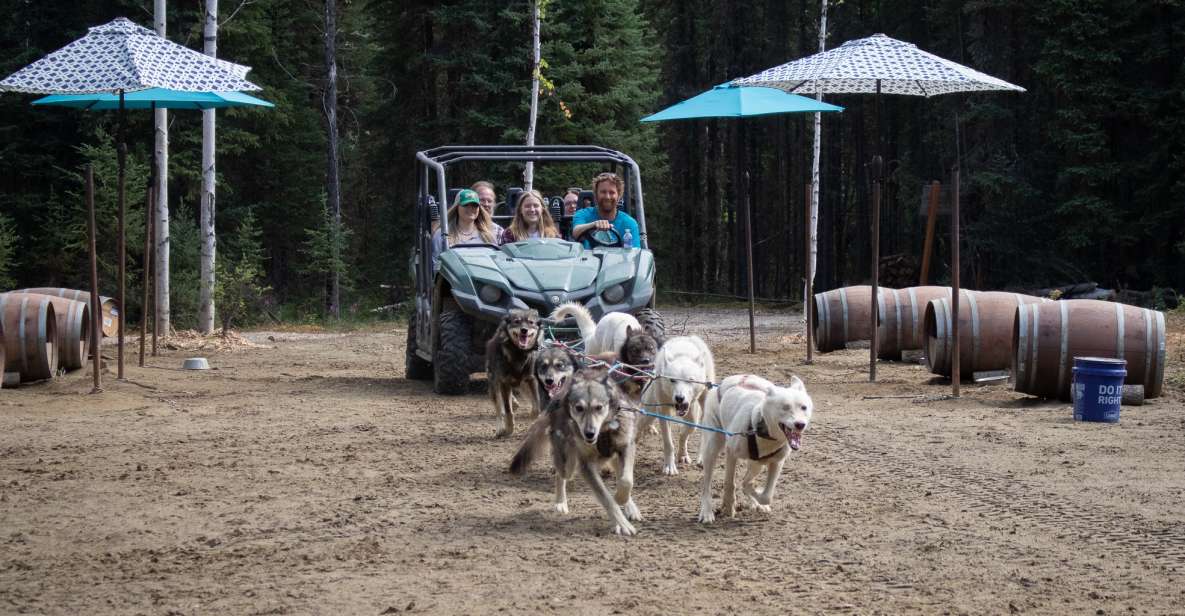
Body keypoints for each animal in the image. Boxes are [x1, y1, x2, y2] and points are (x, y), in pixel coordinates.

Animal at [639, 334, 710, 473]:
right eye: (672, 380)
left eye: (690, 380)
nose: (679, 398)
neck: (682, 353)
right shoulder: (663, 412)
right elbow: (669, 443)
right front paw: (669, 466)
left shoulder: (692, 414)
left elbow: (687, 431)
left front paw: (682, 454)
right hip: (649, 413)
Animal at [696, 371, 810, 521]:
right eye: (785, 407)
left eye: (804, 407)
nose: (800, 424)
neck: (760, 428)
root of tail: (722, 383)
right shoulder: (731, 453)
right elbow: (730, 482)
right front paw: (729, 504)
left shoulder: (777, 462)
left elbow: (766, 495)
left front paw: (755, 496)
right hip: (712, 446)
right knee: (706, 484)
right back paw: (707, 511)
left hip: (757, 464)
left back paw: (755, 501)